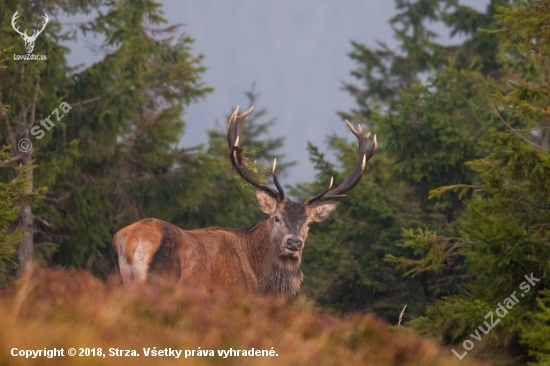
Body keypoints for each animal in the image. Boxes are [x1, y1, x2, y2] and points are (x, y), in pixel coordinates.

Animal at [112, 106, 380, 298]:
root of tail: (129, 240)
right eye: (276, 217)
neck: (259, 280)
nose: (294, 243)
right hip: (159, 279)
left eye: (309, 223)